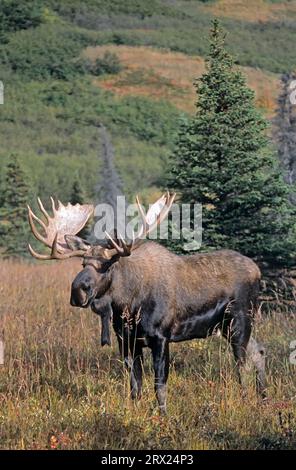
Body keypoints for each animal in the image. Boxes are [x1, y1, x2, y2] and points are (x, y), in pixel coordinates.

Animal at [27, 193, 268, 414]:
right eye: (83, 263)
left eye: (108, 264)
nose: (77, 291)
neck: (128, 306)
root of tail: (257, 271)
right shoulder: (126, 341)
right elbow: (135, 386)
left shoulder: (161, 337)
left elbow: (159, 385)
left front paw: (163, 416)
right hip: (227, 327)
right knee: (259, 352)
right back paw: (264, 398)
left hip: (240, 320)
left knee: (243, 364)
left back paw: (247, 399)